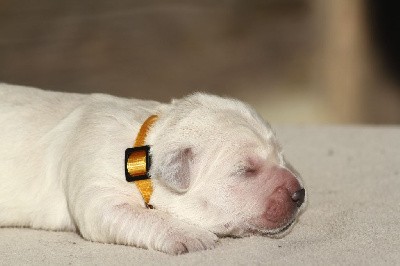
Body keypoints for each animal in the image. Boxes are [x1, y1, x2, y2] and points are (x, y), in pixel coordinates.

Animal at [0, 83, 306, 254]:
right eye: (245, 170)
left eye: (281, 155)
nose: (300, 193)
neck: (140, 152)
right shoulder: (96, 184)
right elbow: (142, 216)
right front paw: (191, 236)